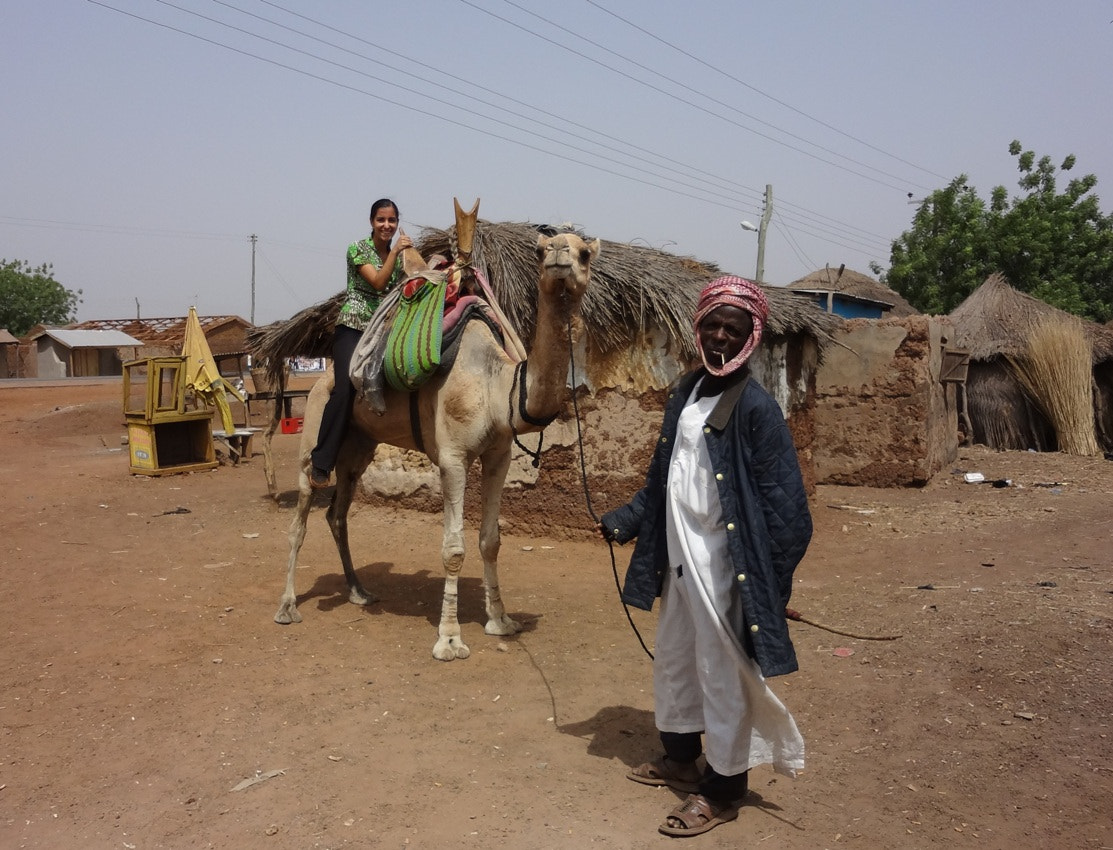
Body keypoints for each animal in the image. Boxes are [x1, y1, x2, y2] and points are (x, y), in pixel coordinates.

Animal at [274, 201, 601, 663]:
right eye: (541, 252)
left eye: (585, 253)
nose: (558, 253)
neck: (499, 386)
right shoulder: (452, 458)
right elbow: (453, 549)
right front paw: (449, 639)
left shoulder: (499, 455)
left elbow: (490, 541)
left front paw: (500, 620)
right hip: (315, 427)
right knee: (300, 515)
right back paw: (287, 607)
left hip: (358, 448)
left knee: (337, 514)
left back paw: (359, 591)